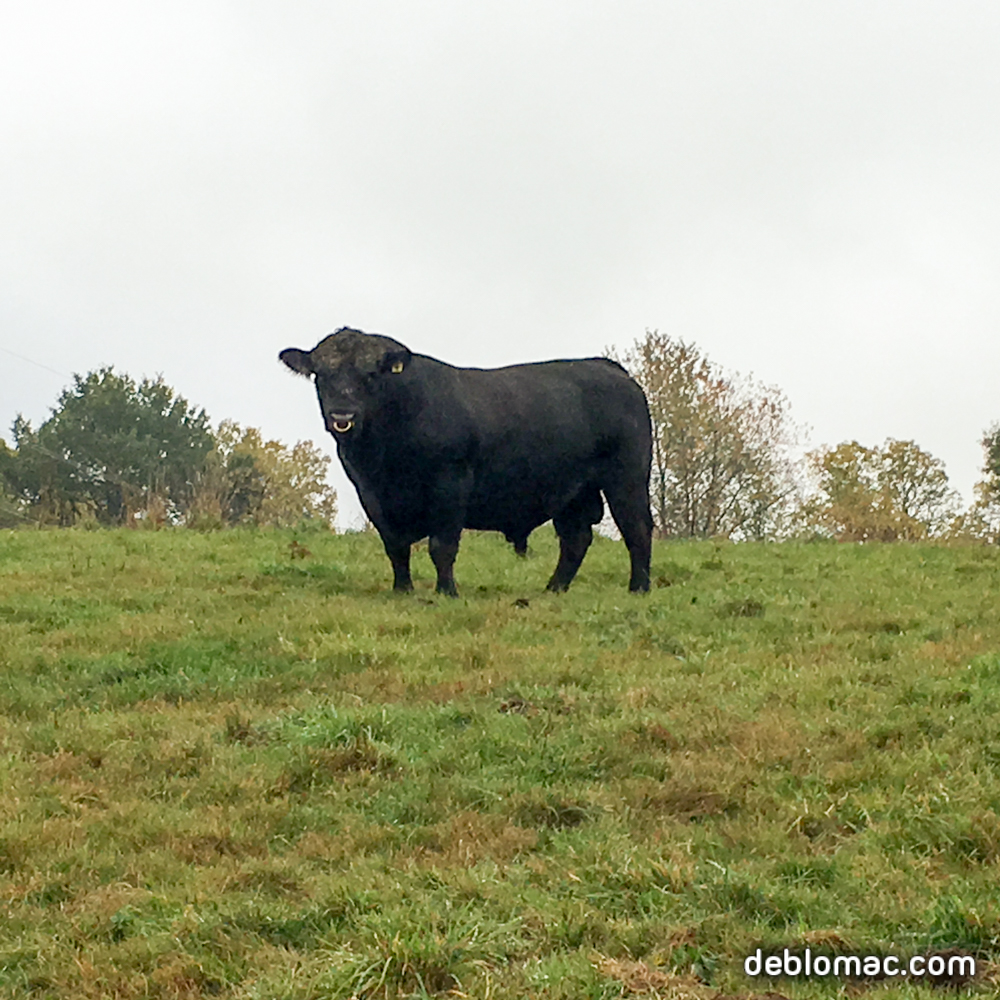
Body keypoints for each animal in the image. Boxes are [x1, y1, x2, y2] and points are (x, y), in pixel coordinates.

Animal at [282, 328, 656, 592]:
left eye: (371, 375)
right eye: (320, 375)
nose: (342, 415)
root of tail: (608, 368)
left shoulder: (450, 485)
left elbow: (442, 546)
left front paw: (447, 592)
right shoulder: (371, 494)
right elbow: (395, 546)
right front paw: (402, 590)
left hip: (627, 477)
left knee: (636, 528)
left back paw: (638, 588)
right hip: (572, 492)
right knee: (575, 539)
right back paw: (554, 589)